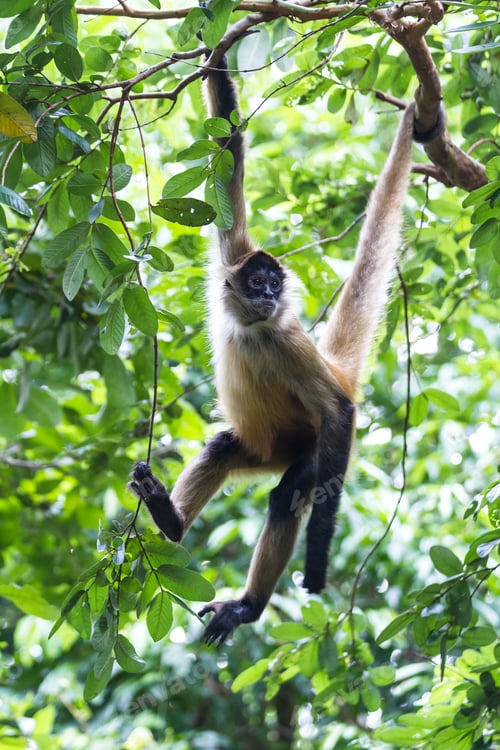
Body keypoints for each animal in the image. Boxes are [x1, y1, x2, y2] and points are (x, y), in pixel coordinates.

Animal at [130, 57, 445, 646]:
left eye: (275, 285)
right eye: (258, 281)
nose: (271, 295)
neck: (251, 328)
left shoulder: (288, 341)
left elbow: (340, 411)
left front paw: (317, 559)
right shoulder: (232, 260)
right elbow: (228, 150)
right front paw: (214, 51)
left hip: (311, 448)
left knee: (290, 492)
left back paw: (250, 606)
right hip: (263, 447)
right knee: (223, 447)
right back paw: (170, 521)